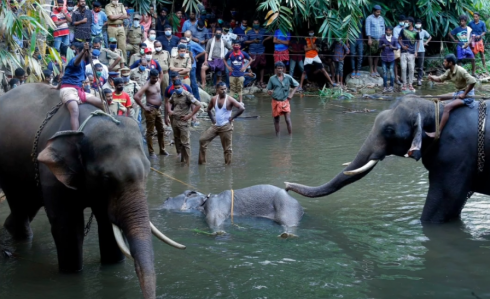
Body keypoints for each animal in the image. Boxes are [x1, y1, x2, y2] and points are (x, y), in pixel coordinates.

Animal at [0, 83, 185, 298]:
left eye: (147, 171)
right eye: (106, 178)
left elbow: (107, 225)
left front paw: (112, 265)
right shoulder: (51, 175)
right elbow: (69, 228)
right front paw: (72, 273)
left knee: (27, 205)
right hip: (8, 171)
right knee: (20, 204)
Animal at [161, 185, 304, 237]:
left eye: (168, 199)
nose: (166, 198)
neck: (203, 201)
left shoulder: (214, 207)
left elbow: (214, 219)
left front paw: (219, 232)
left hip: (287, 208)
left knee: (289, 224)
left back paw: (287, 234)